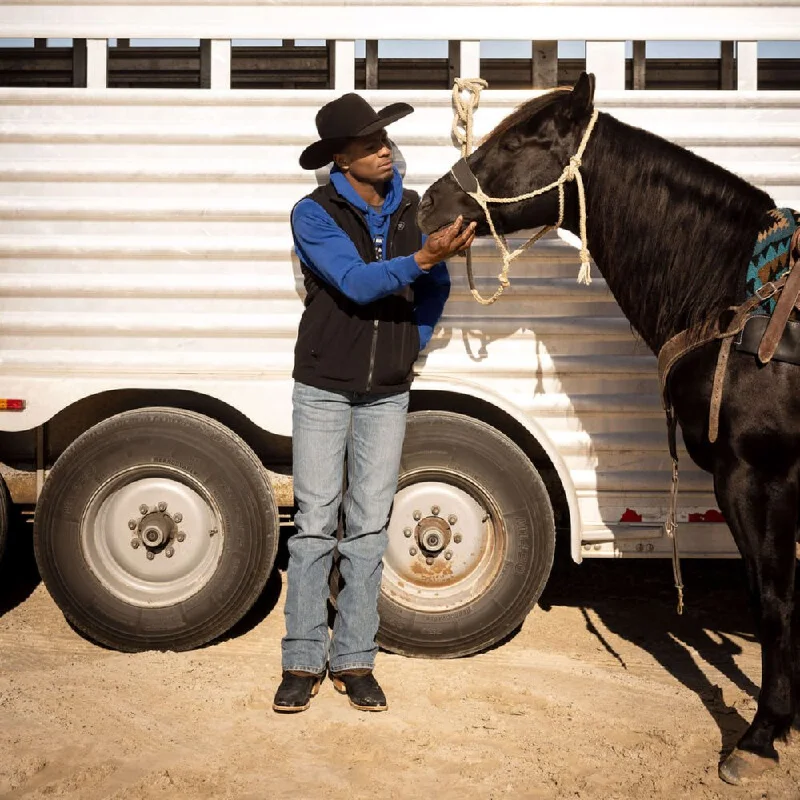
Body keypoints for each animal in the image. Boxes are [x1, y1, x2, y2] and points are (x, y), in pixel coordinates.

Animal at [418, 72, 800, 784]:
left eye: (518, 140)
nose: (428, 204)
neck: (744, 303)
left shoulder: (760, 475)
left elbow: (773, 600)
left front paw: (763, 735)